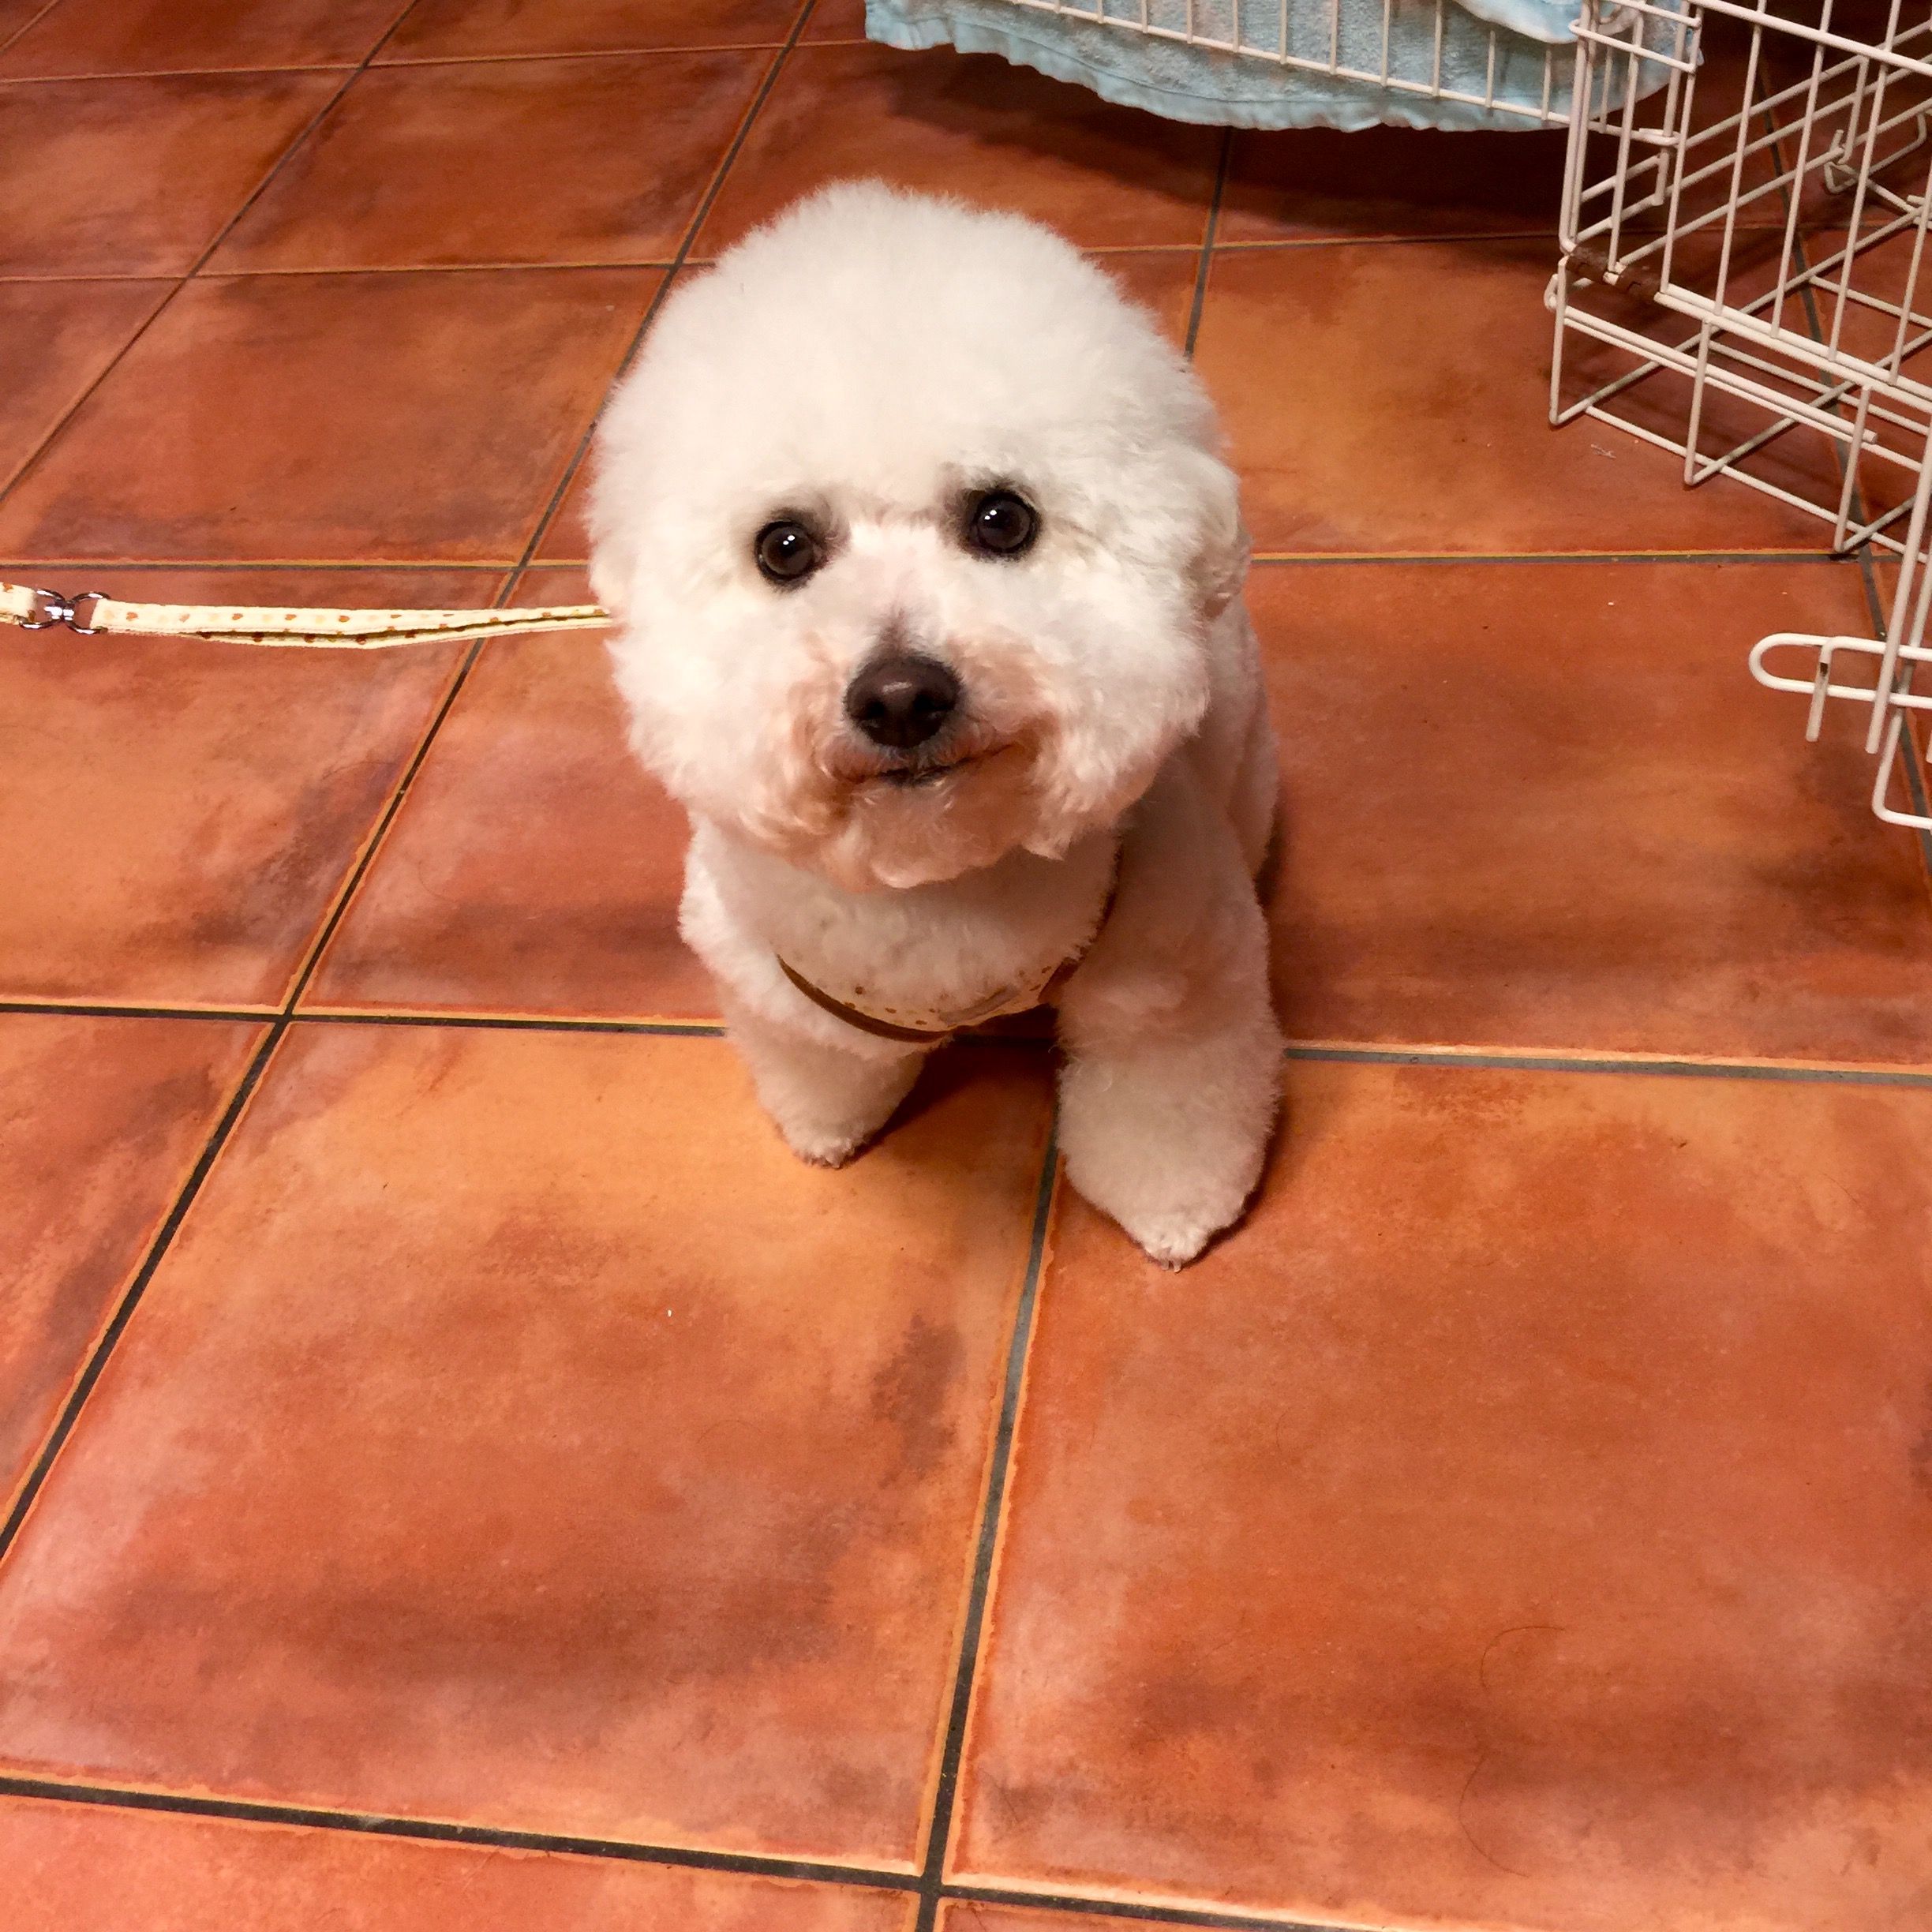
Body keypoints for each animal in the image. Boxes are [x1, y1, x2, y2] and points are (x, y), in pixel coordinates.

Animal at [588, 181, 1281, 1265]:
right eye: (783, 547)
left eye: (1003, 519)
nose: (901, 697)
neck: (943, 876)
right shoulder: (769, 979)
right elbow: (820, 1056)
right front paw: (825, 1125)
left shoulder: (1176, 987)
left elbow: (1167, 1110)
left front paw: (1176, 1211)